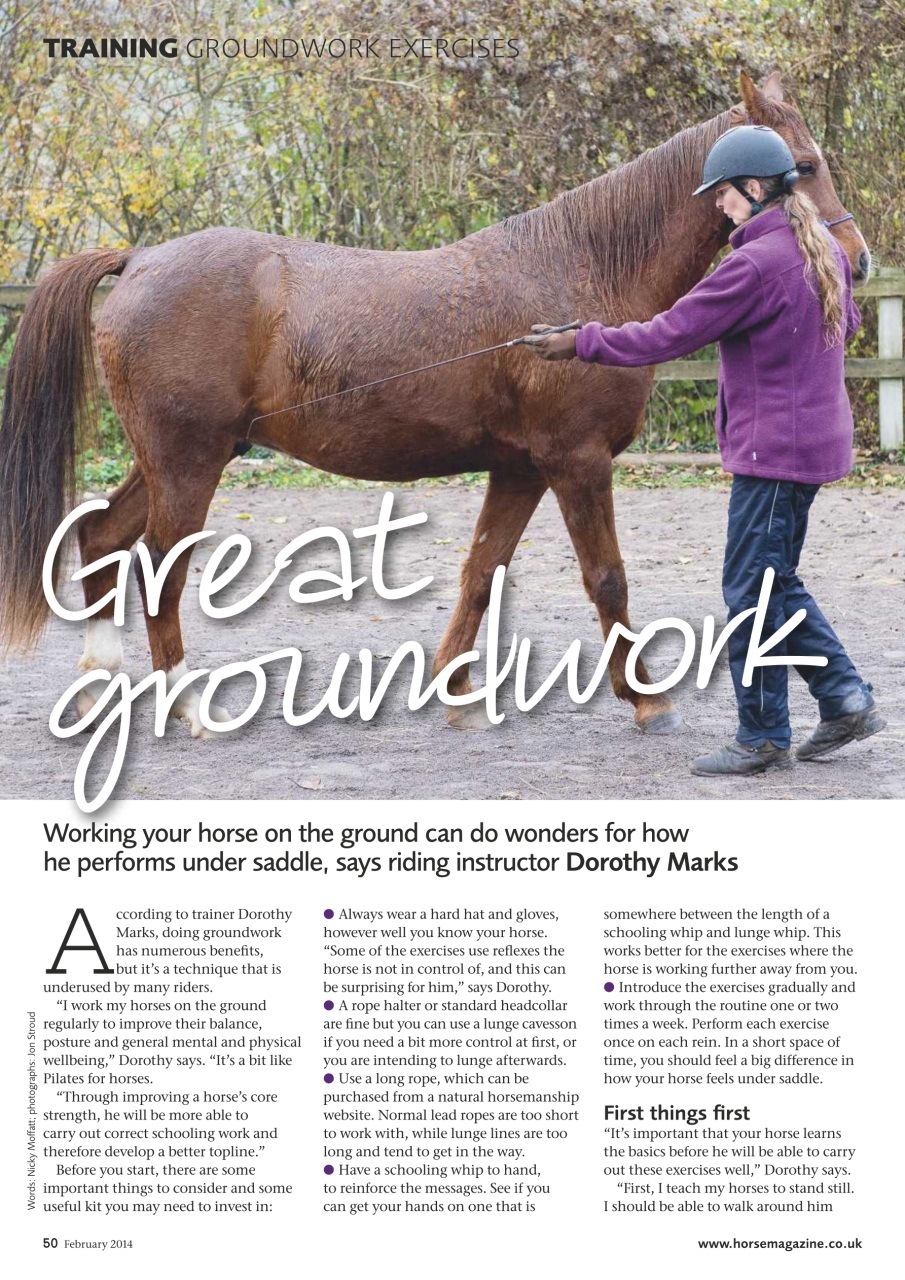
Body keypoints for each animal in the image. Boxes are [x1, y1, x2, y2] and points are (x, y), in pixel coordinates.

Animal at [0, 71, 870, 738]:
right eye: (803, 163)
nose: (856, 262)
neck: (580, 266)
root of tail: (141, 259)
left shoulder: (521, 470)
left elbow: (479, 572)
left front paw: (455, 694)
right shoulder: (576, 463)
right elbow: (606, 579)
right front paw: (647, 700)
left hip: (174, 457)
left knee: (103, 538)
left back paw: (102, 684)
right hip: (188, 461)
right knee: (157, 568)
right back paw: (185, 706)